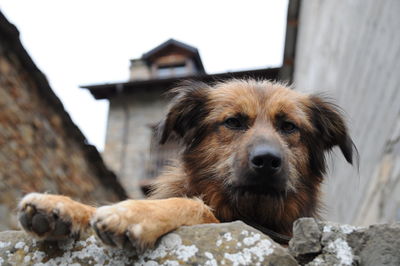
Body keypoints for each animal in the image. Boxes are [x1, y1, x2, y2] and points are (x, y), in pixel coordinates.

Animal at [17, 79, 354, 251]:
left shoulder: (282, 239)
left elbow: (195, 206)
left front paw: (133, 214)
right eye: (233, 122)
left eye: (288, 127)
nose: (267, 160)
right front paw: (63, 206)